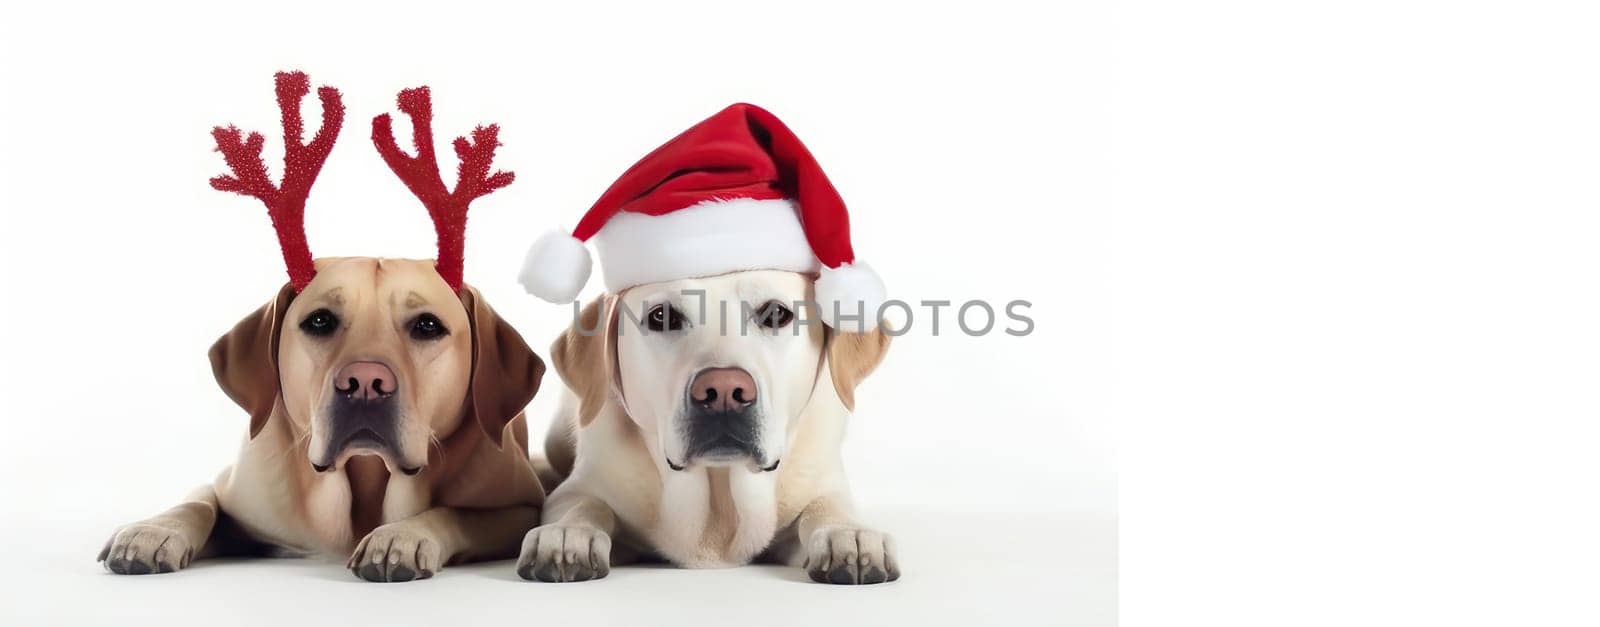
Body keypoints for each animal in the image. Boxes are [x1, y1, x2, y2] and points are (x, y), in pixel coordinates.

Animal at [103, 257, 550, 579]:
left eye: (427, 326)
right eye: (320, 320)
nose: (366, 382)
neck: (365, 482)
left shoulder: (519, 509)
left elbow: (454, 512)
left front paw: (400, 537)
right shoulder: (235, 492)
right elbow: (198, 502)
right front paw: (155, 531)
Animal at [521, 271, 902, 585]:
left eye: (776, 314)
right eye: (662, 316)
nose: (723, 392)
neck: (719, 499)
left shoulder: (821, 485)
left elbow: (826, 508)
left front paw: (848, 535)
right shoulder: (577, 489)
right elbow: (585, 504)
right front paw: (568, 534)